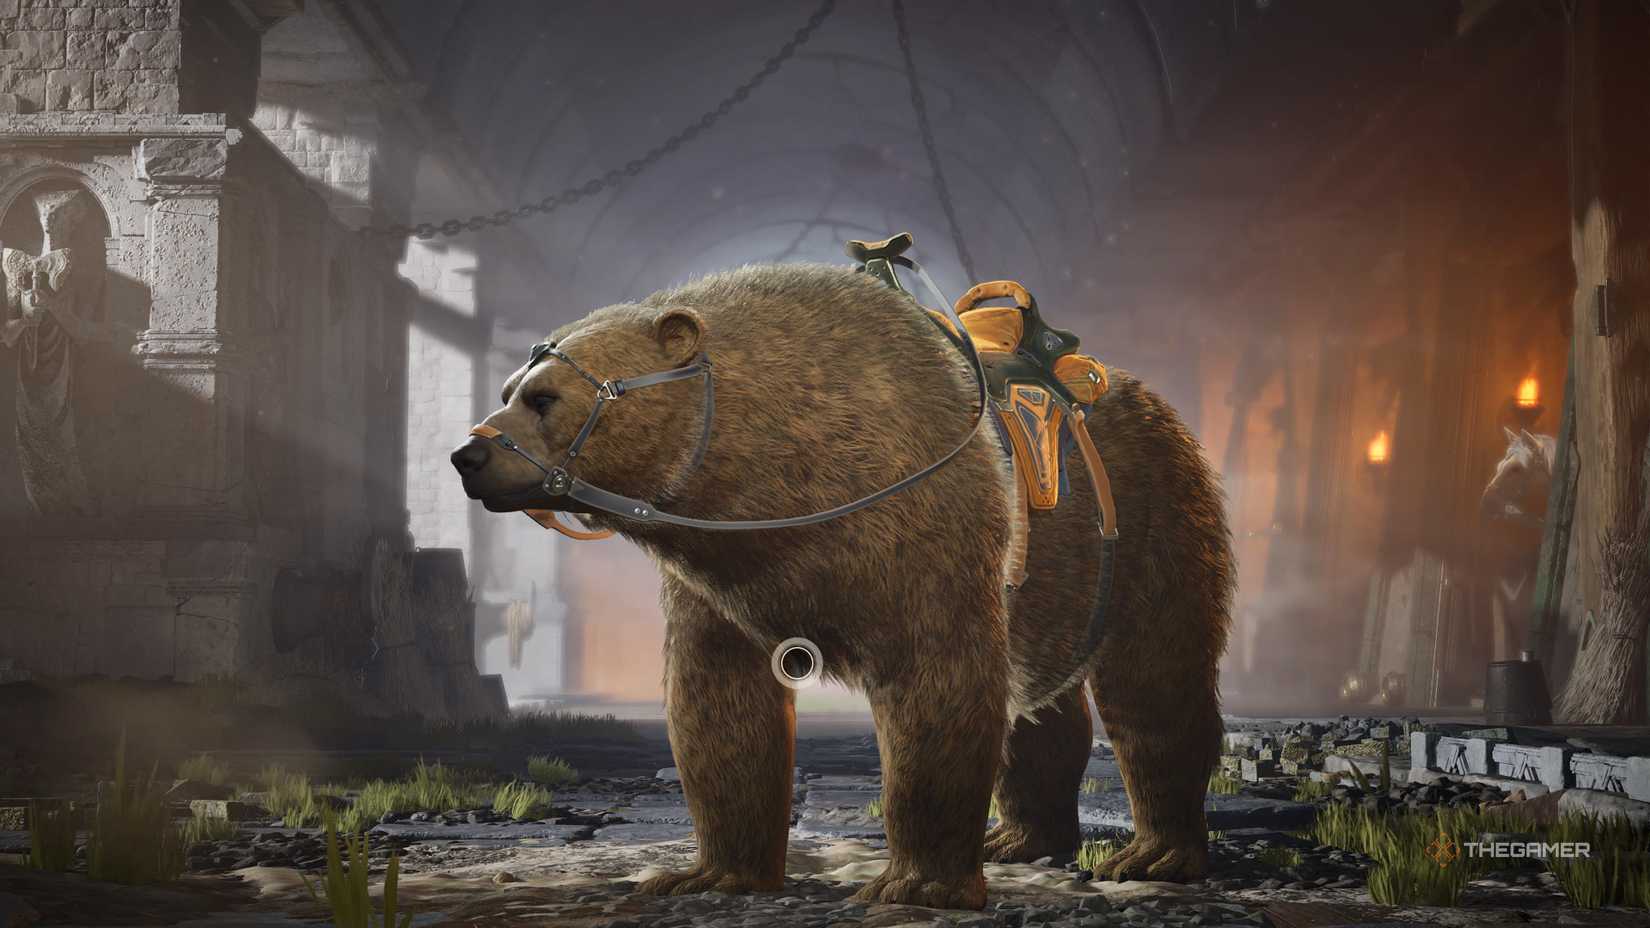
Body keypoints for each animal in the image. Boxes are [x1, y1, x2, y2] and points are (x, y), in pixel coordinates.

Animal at [451, 263, 1233, 910]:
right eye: (508, 390)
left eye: (545, 397)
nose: (469, 454)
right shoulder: (718, 582)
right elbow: (718, 704)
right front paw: (706, 872)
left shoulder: (919, 530)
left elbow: (938, 687)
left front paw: (914, 884)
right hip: (1058, 584)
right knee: (1041, 701)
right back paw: (1018, 838)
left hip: (1151, 514)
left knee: (1154, 679)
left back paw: (1153, 855)